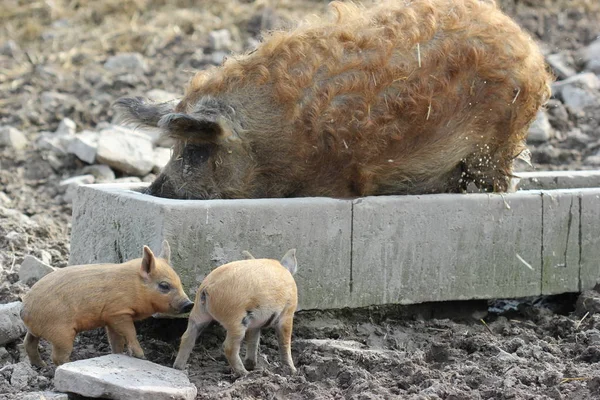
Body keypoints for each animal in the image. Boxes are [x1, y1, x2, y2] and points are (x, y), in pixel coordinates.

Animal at [19, 239, 193, 368]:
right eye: (164, 286)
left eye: (179, 282)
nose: (189, 304)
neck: (133, 287)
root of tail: (24, 310)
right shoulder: (118, 312)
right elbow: (130, 333)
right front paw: (142, 357)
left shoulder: (110, 318)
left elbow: (116, 340)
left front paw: (119, 355)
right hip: (61, 332)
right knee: (57, 356)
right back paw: (68, 364)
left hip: (37, 331)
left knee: (28, 343)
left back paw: (41, 366)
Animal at [171, 248, 298, 376]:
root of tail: (208, 286)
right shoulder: (288, 312)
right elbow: (284, 341)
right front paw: (293, 371)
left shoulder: (255, 324)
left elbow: (253, 340)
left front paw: (252, 365)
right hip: (236, 319)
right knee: (228, 347)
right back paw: (245, 374)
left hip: (198, 313)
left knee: (187, 337)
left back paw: (179, 368)